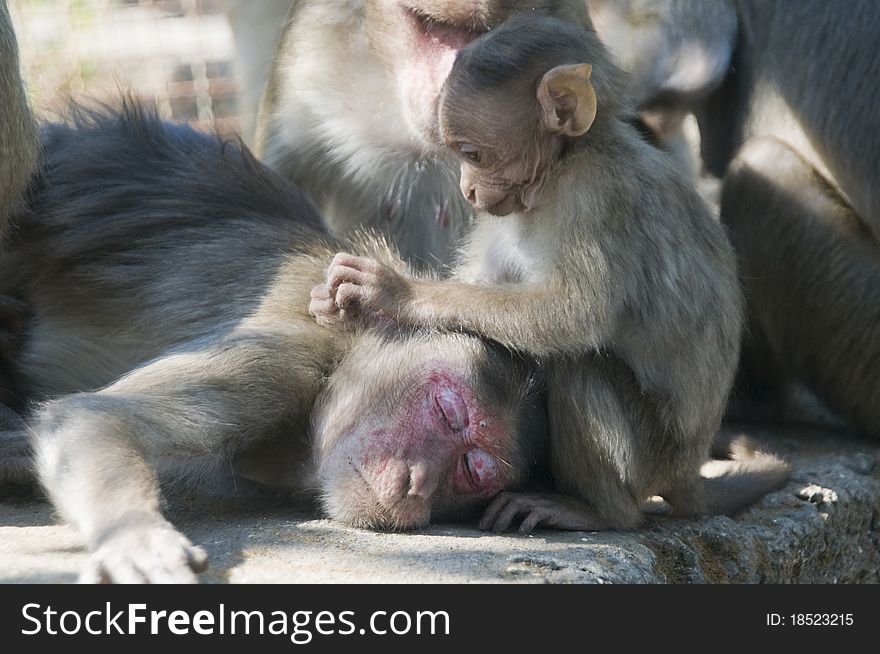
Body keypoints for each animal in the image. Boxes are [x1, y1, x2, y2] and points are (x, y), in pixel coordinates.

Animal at [312, 15, 792, 536]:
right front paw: (335, 306)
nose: (467, 189)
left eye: (471, 153)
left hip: (651, 456)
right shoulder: (504, 214)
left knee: (579, 366)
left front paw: (395, 292)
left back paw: (601, 512)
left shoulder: (594, 196)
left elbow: (573, 314)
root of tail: (687, 470)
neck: (563, 165)